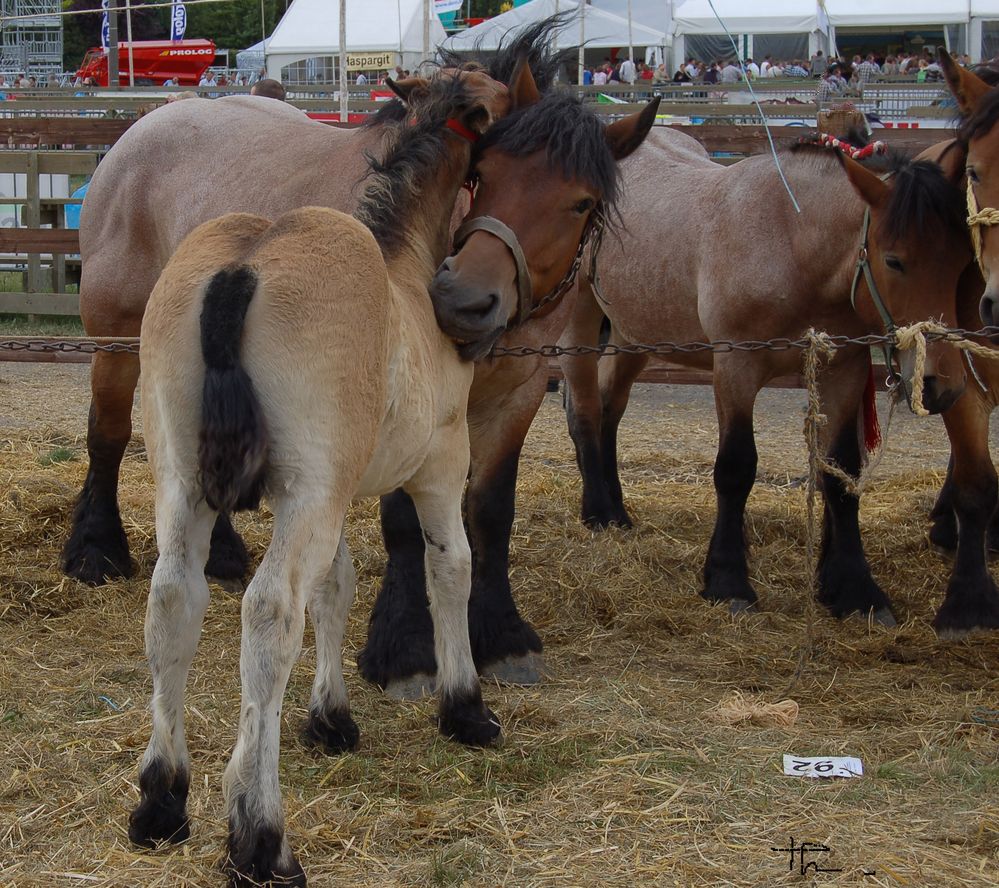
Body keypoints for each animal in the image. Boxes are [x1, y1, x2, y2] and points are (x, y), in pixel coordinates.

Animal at [128, 69, 512, 888]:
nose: (475, 298)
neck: (404, 269)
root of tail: (241, 268)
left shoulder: (337, 493)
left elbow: (338, 586)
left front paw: (330, 717)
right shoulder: (437, 464)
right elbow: (450, 568)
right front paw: (463, 707)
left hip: (186, 483)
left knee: (174, 600)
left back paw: (161, 801)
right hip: (308, 493)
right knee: (270, 614)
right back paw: (260, 836)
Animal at [560, 128, 972, 628]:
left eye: (964, 260)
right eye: (894, 260)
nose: (943, 383)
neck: (791, 244)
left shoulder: (843, 370)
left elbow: (839, 471)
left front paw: (855, 589)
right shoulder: (736, 367)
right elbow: (736, 468)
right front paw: (728, 580)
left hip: (632, 334)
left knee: (609, 408)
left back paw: (617, 508)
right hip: (581, 319)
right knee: (584, 409)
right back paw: (599, 511)